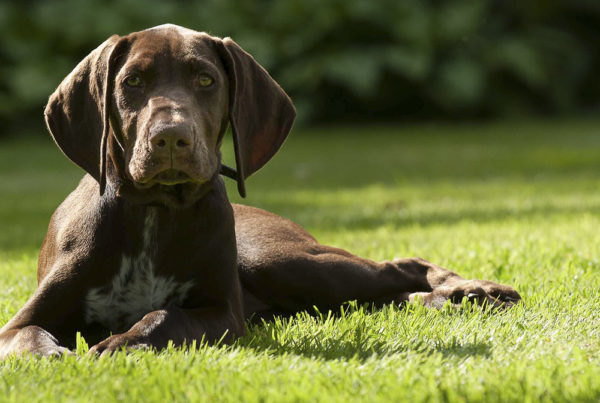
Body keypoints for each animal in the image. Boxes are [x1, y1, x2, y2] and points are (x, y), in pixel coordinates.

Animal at [0, 24, 520, 360]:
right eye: (133, 81)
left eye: (206, 80)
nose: (170, 138)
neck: (155, 211)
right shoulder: (19, 323)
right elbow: (28, 339)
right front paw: (51, 358)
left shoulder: (221, 313)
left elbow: (164, 317)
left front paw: (120, 343)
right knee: (384, 293)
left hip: (281, 261)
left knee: (399, 267)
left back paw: (475, 290)